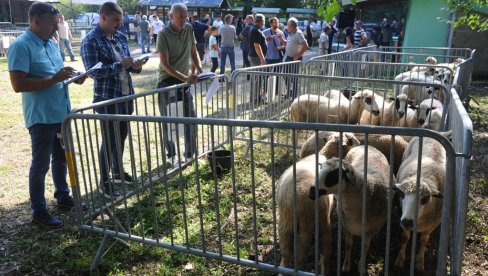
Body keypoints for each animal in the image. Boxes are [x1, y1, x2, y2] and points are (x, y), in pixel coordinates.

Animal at [392, 137, 446, 270]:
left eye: (425, 199)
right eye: (402, 195)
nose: (407, 221)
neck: (422, 177)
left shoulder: (433, 224)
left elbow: (424, 241)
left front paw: (420, 262)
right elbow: (405, 238)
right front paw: (400, 259)